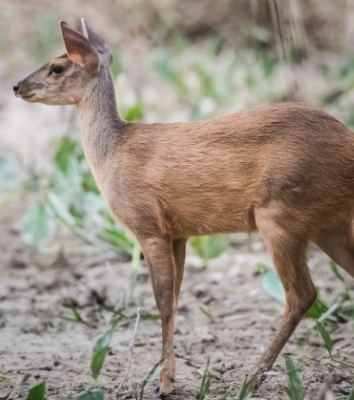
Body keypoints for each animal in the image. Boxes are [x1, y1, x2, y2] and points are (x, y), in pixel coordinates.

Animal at [14, 18, 354, 396]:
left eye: (56, 67)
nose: (16, 86)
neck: (113, 153)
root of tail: (348, 143)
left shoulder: (147, 225)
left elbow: (162, 303)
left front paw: (163, 383)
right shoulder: (178, 233)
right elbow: (175, 300)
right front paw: (170, 377)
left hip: (281, 214)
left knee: (302, 295)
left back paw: (251, 378)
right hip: (328, 225)